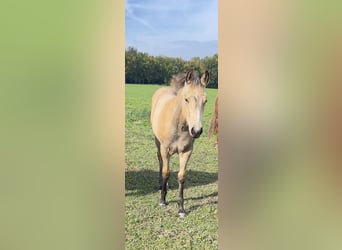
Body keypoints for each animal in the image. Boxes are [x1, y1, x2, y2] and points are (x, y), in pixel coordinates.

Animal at [151, 69, 210, 216]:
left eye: (205, 100)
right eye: (186, 99)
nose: (196, 130)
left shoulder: (186, 152)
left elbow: (181, 176)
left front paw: (181, 208)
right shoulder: (165, 149)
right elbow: (166, 172)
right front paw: (162, 200)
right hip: (158, 143)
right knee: (160, 161)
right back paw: (161, 185)